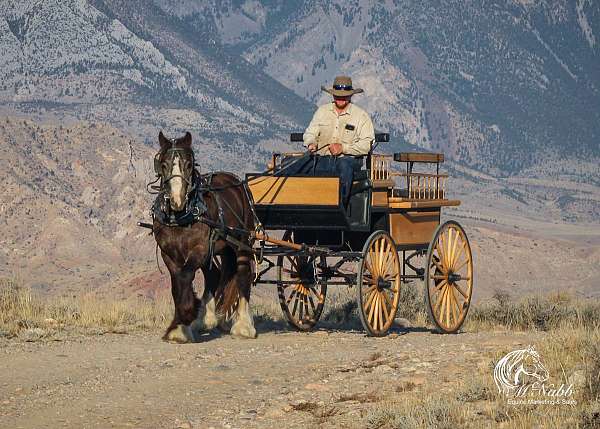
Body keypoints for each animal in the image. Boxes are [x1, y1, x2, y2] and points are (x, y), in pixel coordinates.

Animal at [151, 130, 256, 342]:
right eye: (163, 164)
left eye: (189, 164)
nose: (177, 200)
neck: (181, 217)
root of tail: (235, 182)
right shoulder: (169, 255)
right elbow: (177, 285)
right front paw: (180, 326)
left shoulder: (199, 249)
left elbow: (185, 276)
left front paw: (185, 317)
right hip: (222, 247)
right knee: (215, 273)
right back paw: (206, 320)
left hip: (242, 242)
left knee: (243, 274)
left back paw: (243, 326)